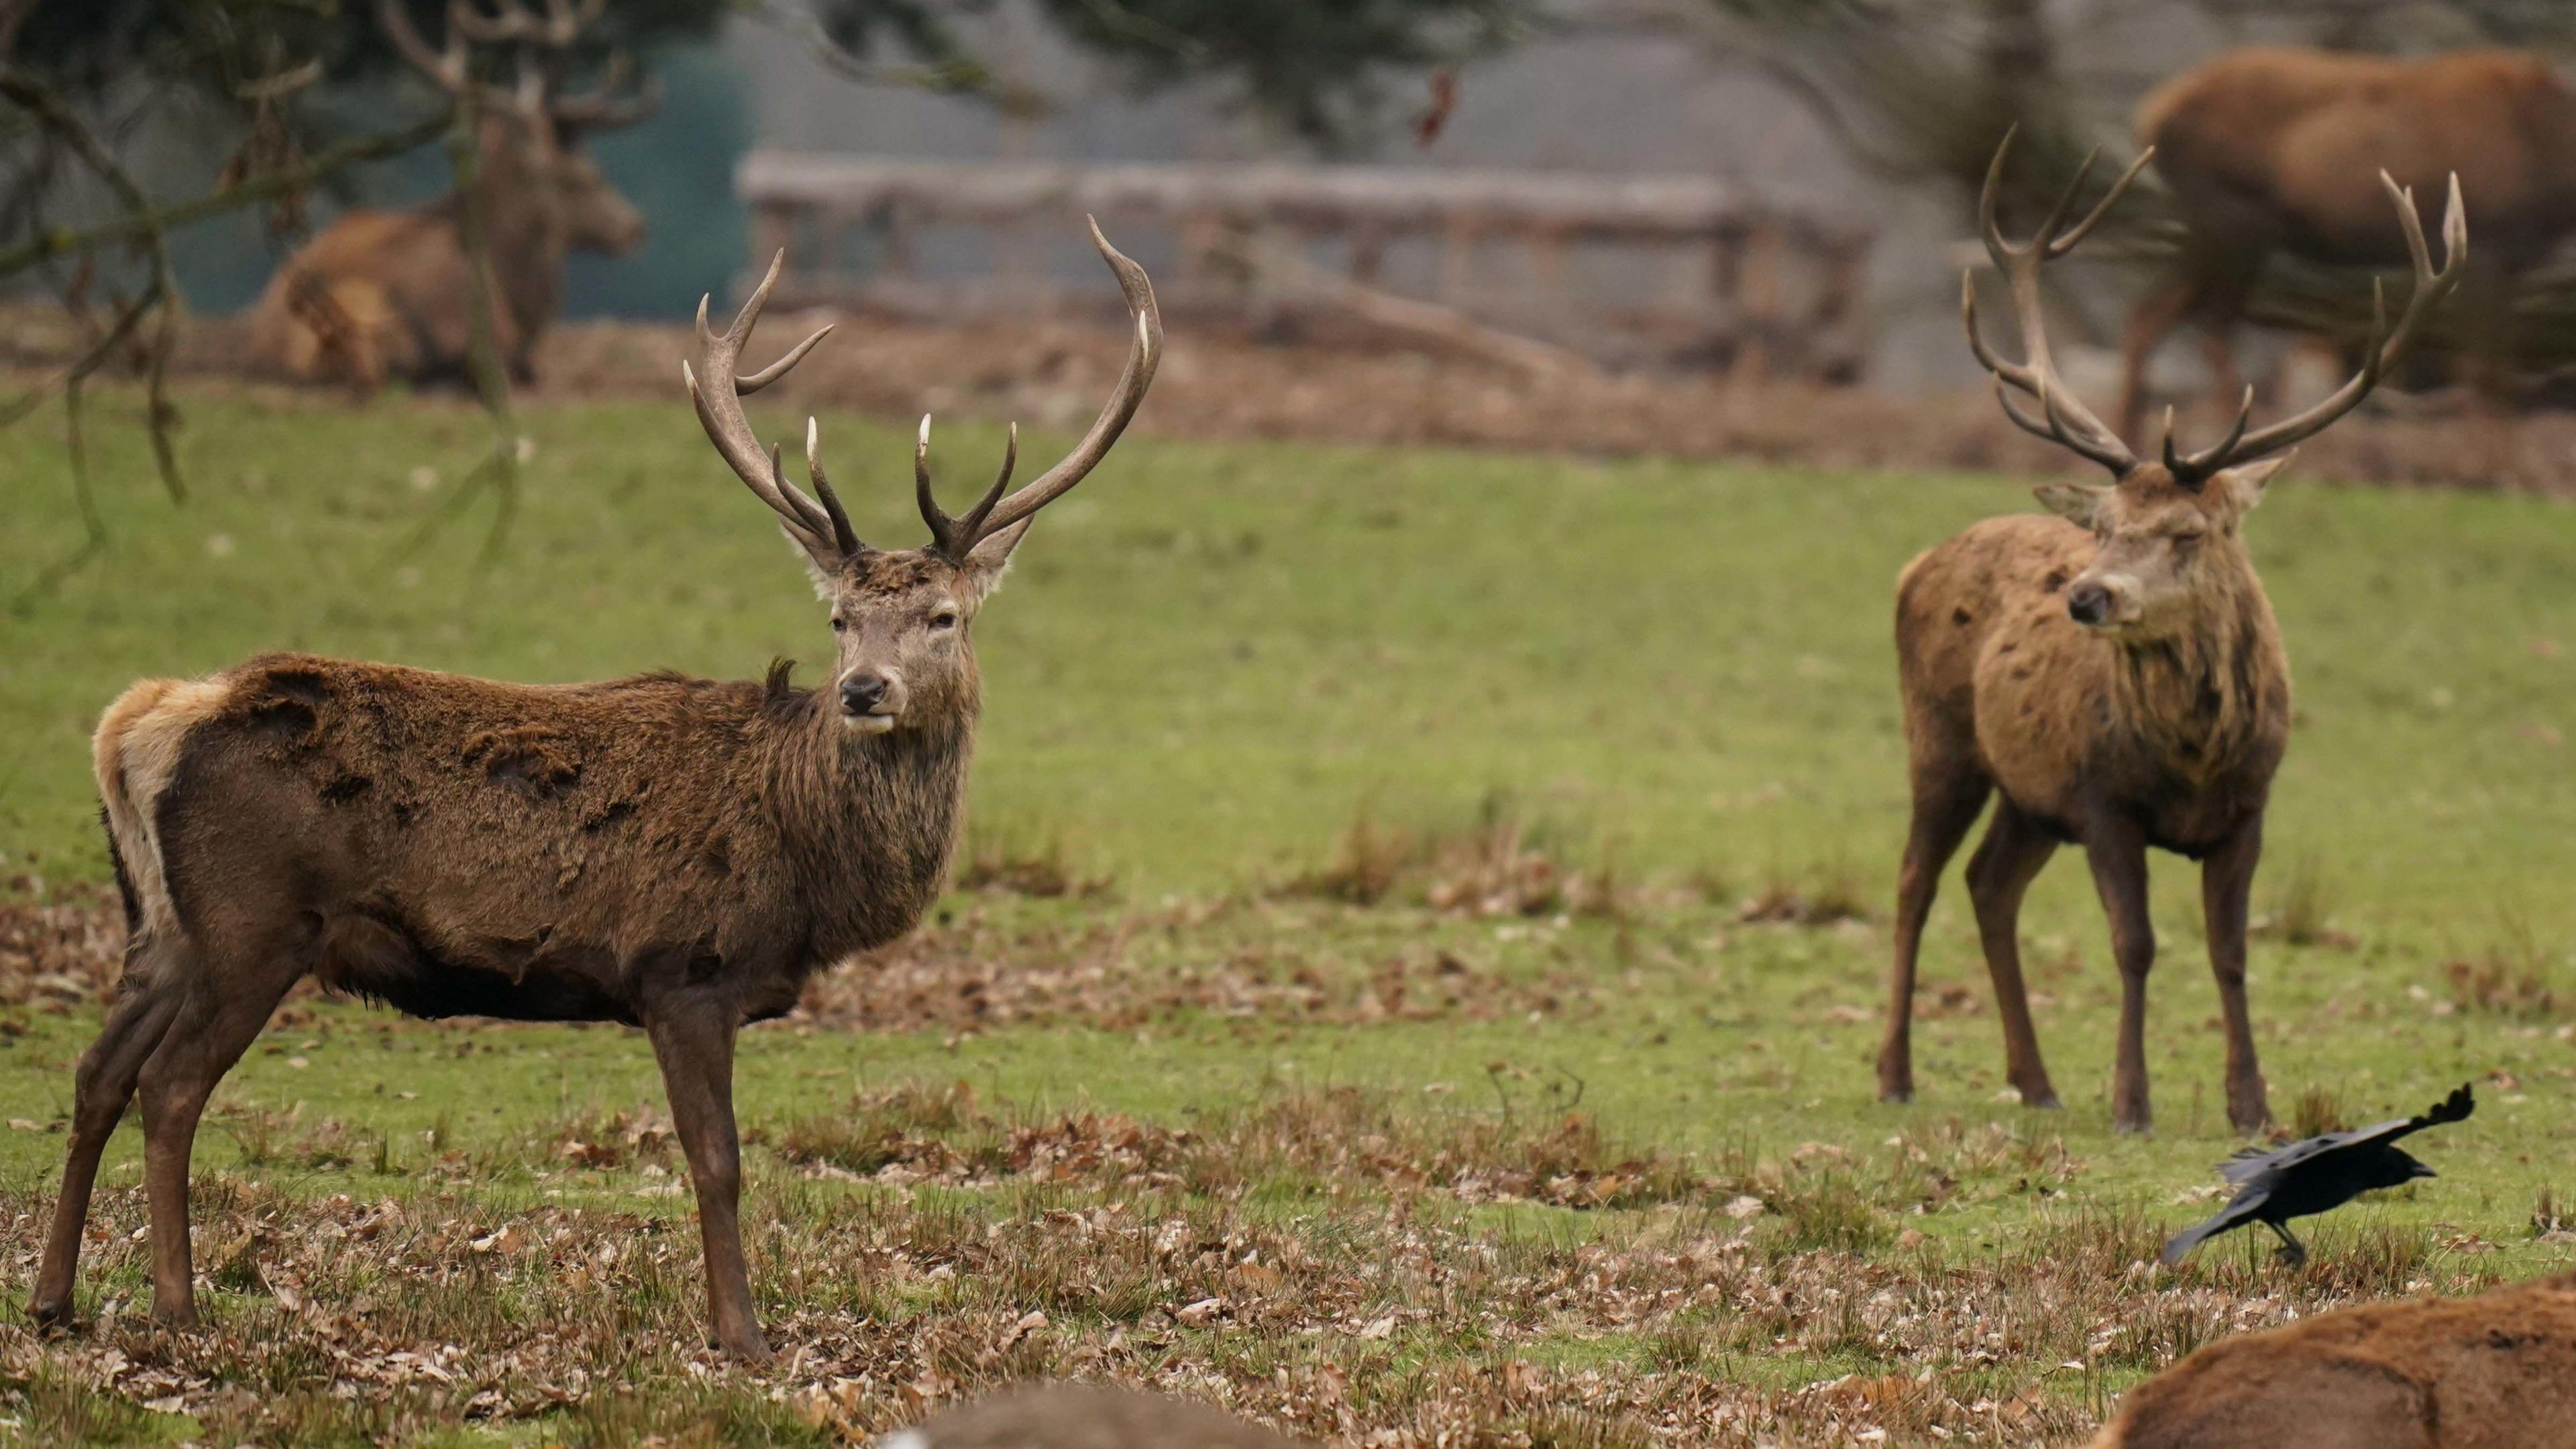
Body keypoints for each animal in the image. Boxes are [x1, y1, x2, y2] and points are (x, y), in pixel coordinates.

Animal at [27, 224, 1160, 1361]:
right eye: (840, 619)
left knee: (96, 1073)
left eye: (943, 618)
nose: (864, 690)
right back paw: (177, 1308)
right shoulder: (684, 968)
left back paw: (53, 1300)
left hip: (163, 925)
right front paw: (742, 1337)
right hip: (253, 923)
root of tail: (139, 723)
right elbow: (718, 1161)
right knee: (170, 1086)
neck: (808, 864)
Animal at [1874, 129, 2465, 1136]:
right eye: (2106, 523)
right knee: (1917, 880)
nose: (2086, 597)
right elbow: (2136, 944)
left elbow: (2231, 952)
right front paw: (2131, 1102)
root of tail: (1917, 563)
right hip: (1943, 738)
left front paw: (2251, 1105)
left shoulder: (2250, 809)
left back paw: (2035, 1080)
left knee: (1990, 885)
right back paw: (1896, 1072)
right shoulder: (2104, 800)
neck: (2192, 757)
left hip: (2029, 795)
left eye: (2189, 532)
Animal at [2118, 46, 2576, 438]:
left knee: (2166, 317)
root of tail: (2150, 114)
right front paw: (2492, 472)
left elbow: (2497, 370)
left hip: (2226, 232)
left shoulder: (2512, 263)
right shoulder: (2487, 248)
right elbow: (2484, 373)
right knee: (2194, 322)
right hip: (2229, 218)